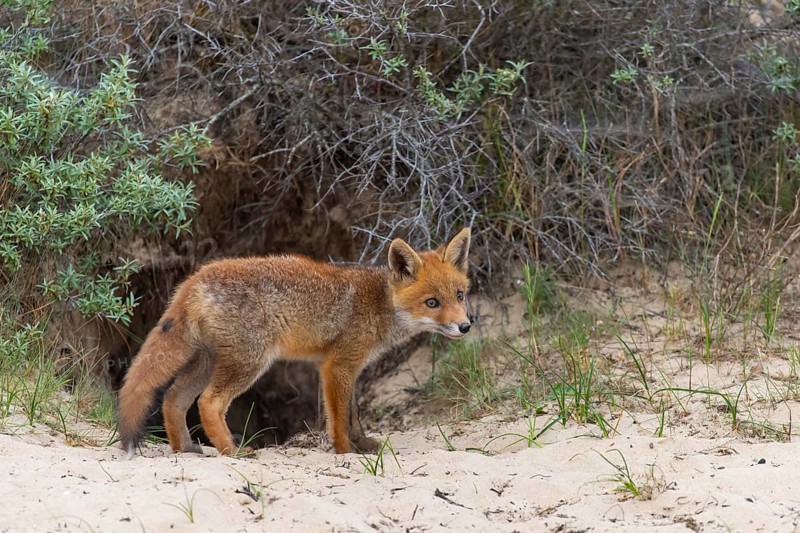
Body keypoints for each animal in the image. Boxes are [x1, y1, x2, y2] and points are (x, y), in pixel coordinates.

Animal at [118, 227, 472, 458]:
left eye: (459, 295)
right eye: (432, 303)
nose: (465, 326)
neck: (378, 304)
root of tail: (194, 280)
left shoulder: (348, 368)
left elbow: (353, 414)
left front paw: (363, 444)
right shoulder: (337, 366)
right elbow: (339, 418)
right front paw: (345, 452)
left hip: (207, 362)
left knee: (173, 399)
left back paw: (186, 448)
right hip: (249, 363)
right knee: (208, 402)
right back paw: (232, 451)